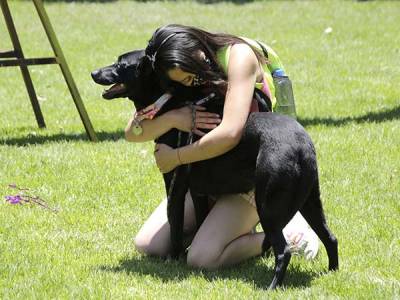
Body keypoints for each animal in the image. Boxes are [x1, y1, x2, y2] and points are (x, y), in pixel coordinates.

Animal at [91, 50, 338, 290]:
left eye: (121, 64)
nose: (93, 72)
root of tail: (302, 146)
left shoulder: (175, 187)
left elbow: (175, 226)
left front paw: (173, 259)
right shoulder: (199, 193)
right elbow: (199, 223)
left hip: (267, 206)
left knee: (283, 251)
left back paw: (272, 287)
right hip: (309, 201)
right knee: (330, 237)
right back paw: (332, 272)